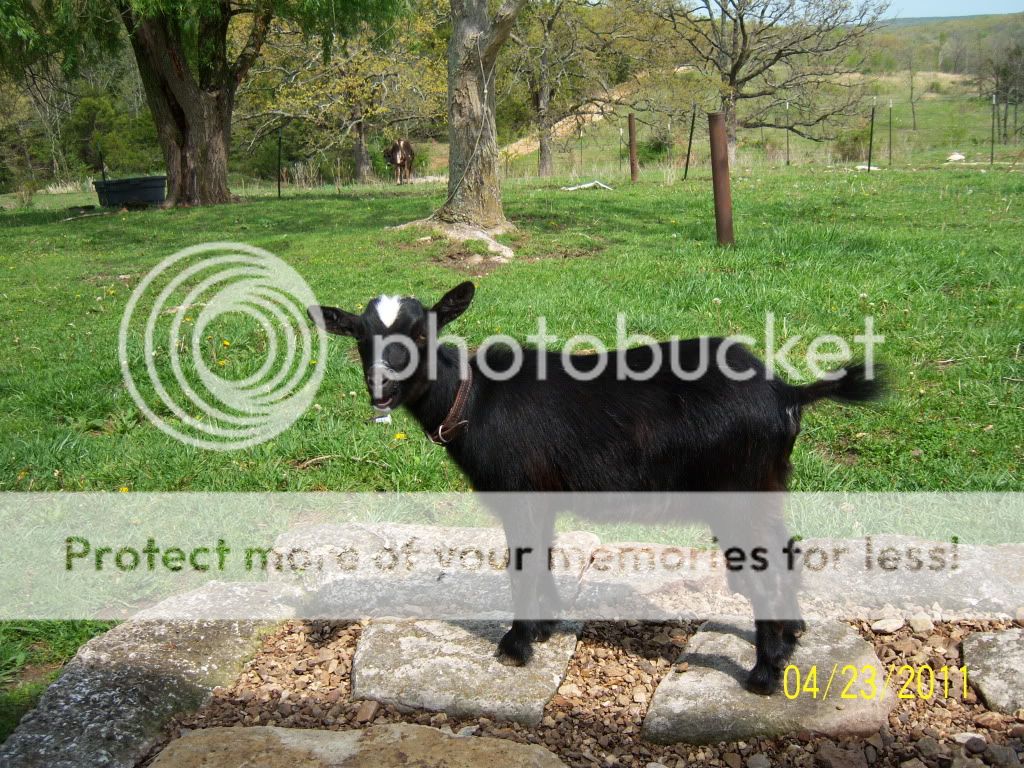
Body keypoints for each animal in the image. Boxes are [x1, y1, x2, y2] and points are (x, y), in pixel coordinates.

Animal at [308, 282, 883, 694]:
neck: (472, 399)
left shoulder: (520, 494)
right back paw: (792, 635)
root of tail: (788, 393)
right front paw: (544, 628)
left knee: (766, 572)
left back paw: (764, 676)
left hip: (737, 495)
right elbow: (542, 558)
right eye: (360, 336)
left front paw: (515, 646)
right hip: (767, 486)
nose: (380, 389)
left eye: (423, 334)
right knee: (786, 552)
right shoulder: (543, 497)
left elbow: (522, 565)